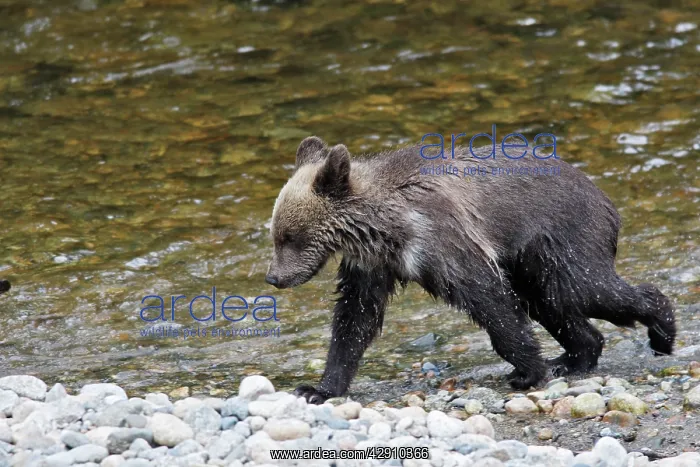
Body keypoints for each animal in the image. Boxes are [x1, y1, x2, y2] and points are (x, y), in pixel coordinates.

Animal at [265, 136, 676, 404]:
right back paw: (573, 359)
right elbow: (354, 319)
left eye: (288, 235)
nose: (274, 277)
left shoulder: (443, 240)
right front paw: (318, 388)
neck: (387, 228)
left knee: (586, 289)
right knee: (550, 304)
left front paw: (527, 371)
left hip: (562, 237)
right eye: (276, 233)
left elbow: (490, 301)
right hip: (531, 262)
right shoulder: (371, 265)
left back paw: (662, 332)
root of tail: (605, 198)